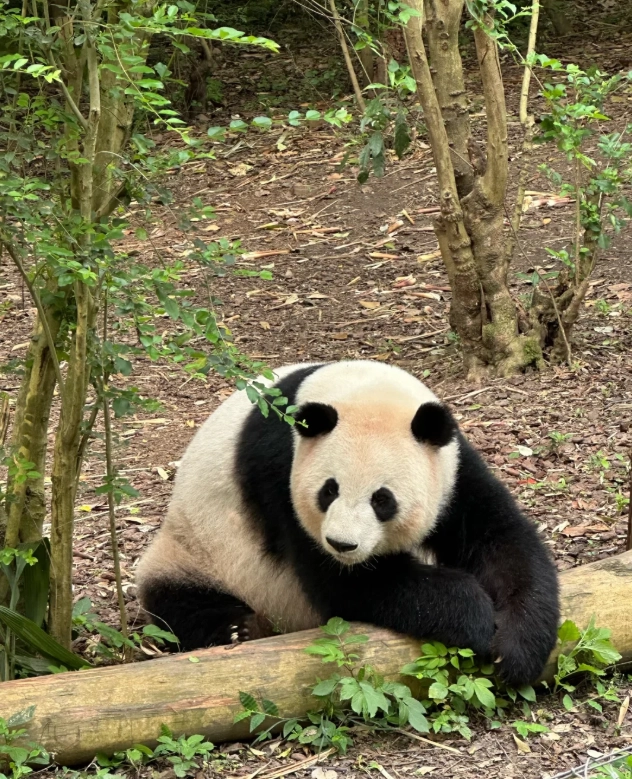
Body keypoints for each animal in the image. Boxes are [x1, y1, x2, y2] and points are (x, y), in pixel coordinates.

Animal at [136, 360, 559, 686]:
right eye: (328, 491)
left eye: (382, 500)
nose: (342, 545)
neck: (359, 387)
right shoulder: (278, 471)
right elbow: (346, 586)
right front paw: (476, 616)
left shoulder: (451, 467)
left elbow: (499, 540)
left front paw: (517, 649)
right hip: (196, 549)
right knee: (178, 600)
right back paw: (238, 628)